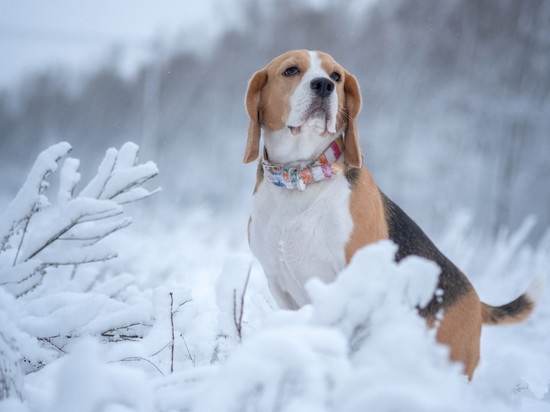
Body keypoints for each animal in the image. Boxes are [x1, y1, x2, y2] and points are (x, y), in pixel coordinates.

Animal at [246, 50, 544, 378]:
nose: (324, 85)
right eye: (291, 70)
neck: (301, 178)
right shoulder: (279, 283)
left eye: (336, 76)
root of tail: (477, 301)